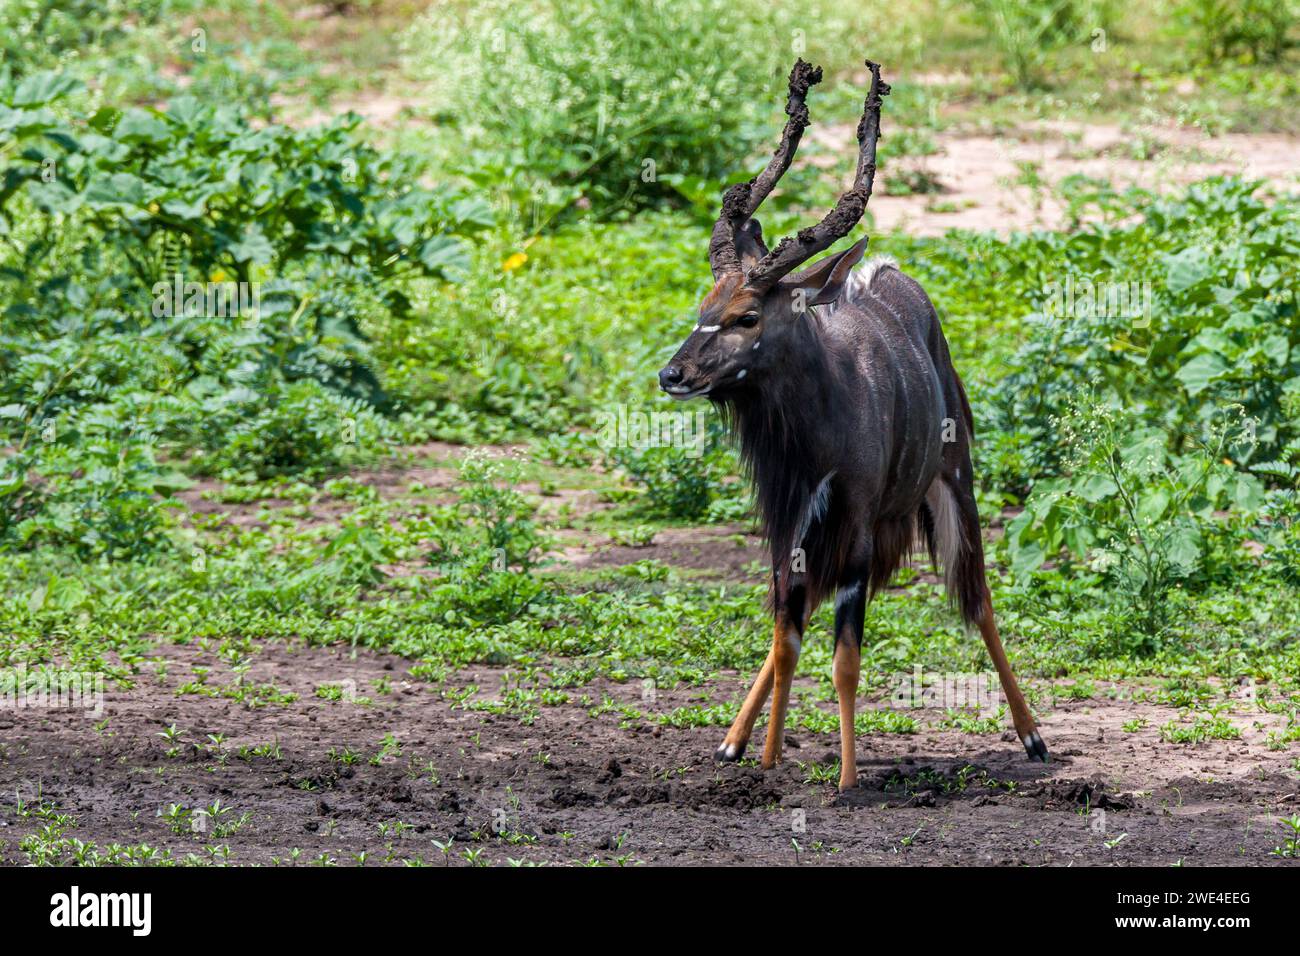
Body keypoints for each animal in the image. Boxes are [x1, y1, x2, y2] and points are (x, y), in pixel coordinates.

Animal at [660, 57, 1045, 790]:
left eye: (747, 315)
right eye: (704, 307)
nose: (673, 375)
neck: (817, 436)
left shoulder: (858, 531)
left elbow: (844, 660)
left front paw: (845, 780)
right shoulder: (790, 531)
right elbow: (785, 640)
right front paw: (766, 759)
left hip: (955, 481)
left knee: (979, 597)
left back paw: (1034, 735)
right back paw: (730, 742)